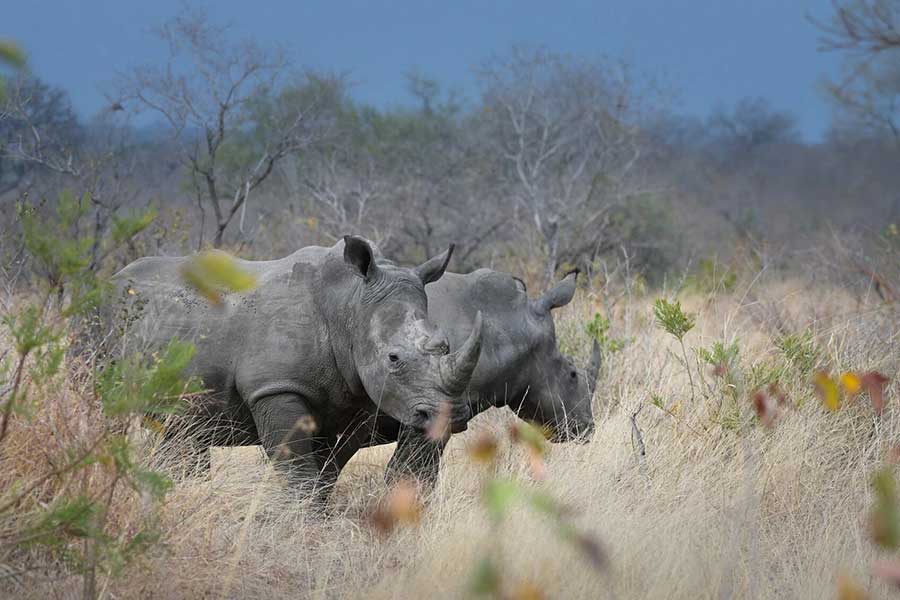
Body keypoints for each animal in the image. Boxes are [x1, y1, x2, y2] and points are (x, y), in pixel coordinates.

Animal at [110, 237, 486, 494]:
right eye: (393, 358)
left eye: (445, 346)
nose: (451, 415)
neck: (349, 306)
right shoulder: (276, 387)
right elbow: (299, 472)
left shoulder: (357, 396)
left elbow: (328, 471)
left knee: (183, 428)